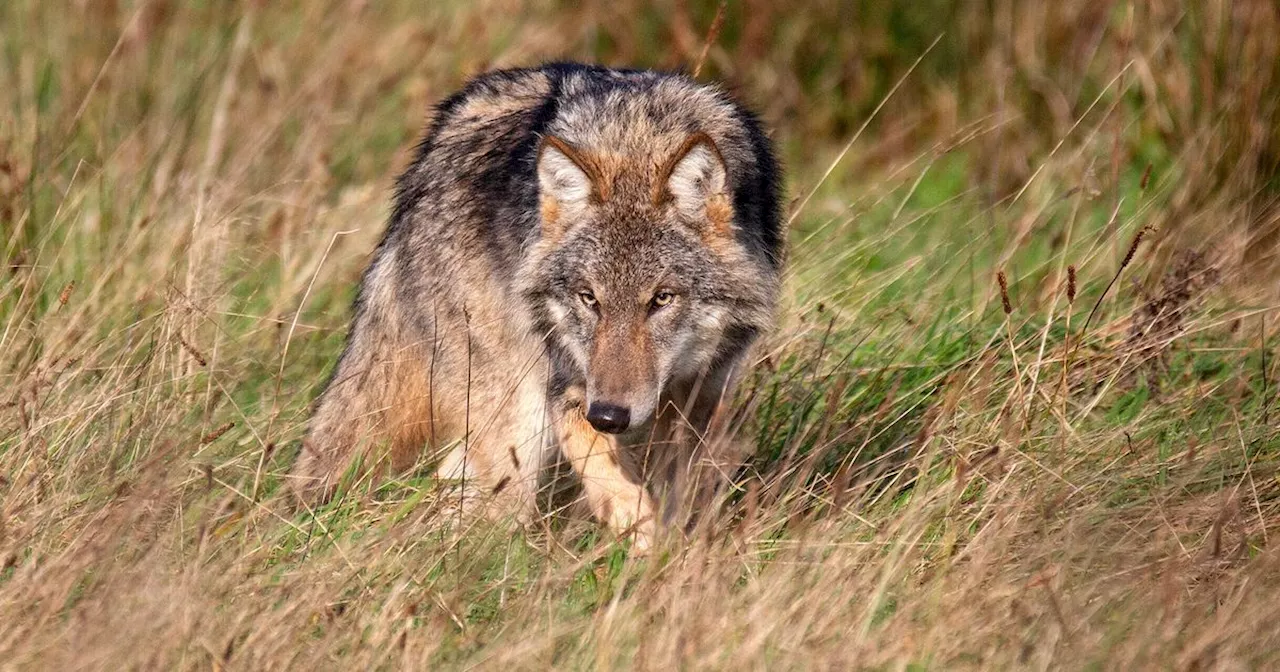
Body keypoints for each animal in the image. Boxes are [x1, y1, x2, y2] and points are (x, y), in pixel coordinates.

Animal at [291, 60, 783, 547]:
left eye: (662, 299)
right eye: (589, 298)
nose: (609, 416)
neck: (635, 139)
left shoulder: (702, 396)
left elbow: (679, 483)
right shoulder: (568, 385)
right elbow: (614, 481)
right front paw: (641, 533)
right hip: (518, 422)